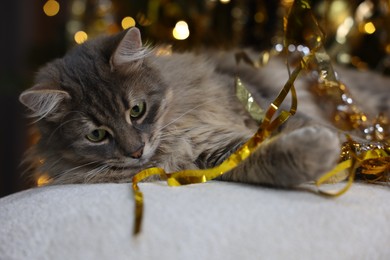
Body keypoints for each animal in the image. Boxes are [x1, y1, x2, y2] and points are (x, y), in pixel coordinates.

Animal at [19, 27, 390, 187]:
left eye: (136, 111)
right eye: (97, 135)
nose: (137, 152)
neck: (175, 137)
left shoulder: (261, 107)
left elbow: (305, 127)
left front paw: (350, 152)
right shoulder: (210, 155)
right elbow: (268, 157)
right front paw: (323, 155)